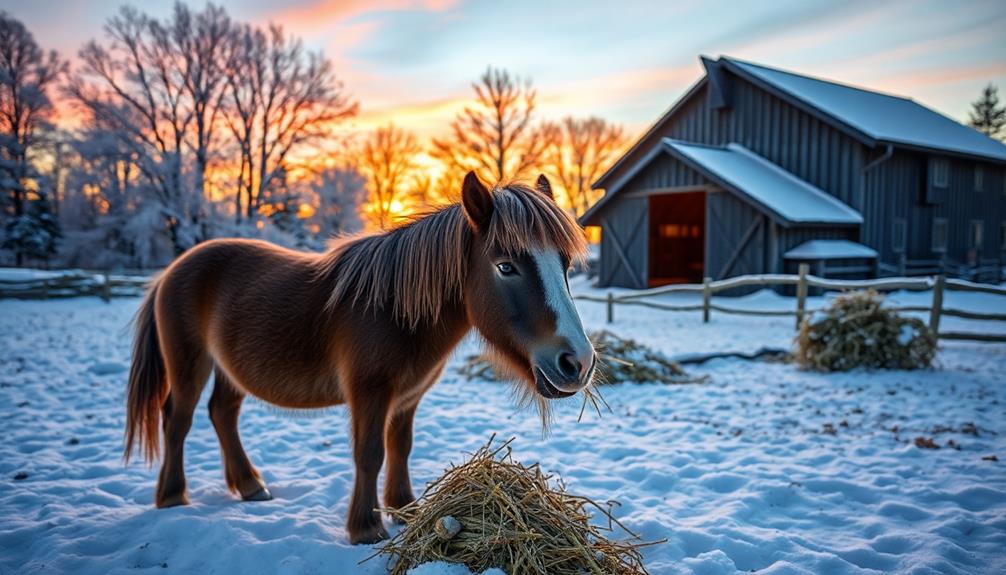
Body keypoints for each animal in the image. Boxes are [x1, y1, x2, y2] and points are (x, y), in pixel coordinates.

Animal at [125, 171, 595, 542]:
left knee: (222, 413)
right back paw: (172, 497)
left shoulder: (407, 398)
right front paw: (366, 528)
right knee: (178, 420)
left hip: (229, 370)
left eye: (565, 264)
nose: (577, 362)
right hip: (190, 364)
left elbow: (400, 447)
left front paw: (404, 510)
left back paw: (249, 486)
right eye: (505, 266)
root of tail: (171, 271)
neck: (393, 310)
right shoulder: (370, 393)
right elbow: (370, 453)